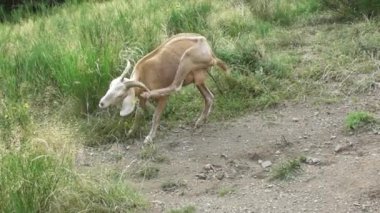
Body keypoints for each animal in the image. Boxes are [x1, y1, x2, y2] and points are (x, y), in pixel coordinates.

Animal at [99, 32, 227, 143]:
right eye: (110, 87)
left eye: (120, 95)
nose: (101, 103)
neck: (144, 74)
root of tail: (211, 53)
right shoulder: (140, 99)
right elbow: (139, 113)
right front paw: (131, 132)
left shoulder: (162, 99)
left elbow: (156, 116)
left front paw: (150, 137)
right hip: (198, 79)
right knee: (209, 97)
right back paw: (200, 121)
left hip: (187, 59)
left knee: (176, 86)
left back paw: (150, 94)